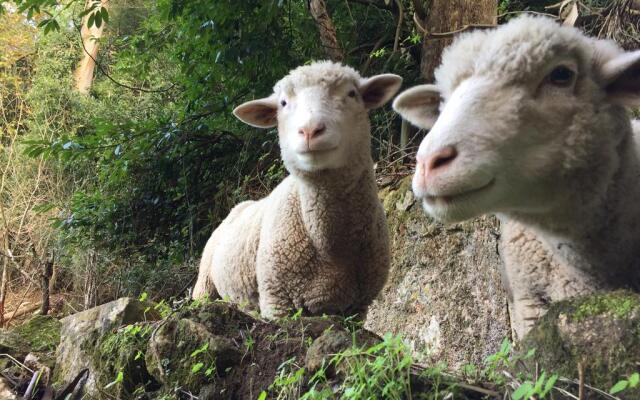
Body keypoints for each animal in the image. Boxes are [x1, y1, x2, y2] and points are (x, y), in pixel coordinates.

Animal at [192, 61, 400, 318]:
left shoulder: (358, 307)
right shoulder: (277, 301)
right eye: (283, 103)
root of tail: (240, 206)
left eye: (352, 94)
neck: (333, 248)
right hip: (204, 284)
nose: (310, 130)